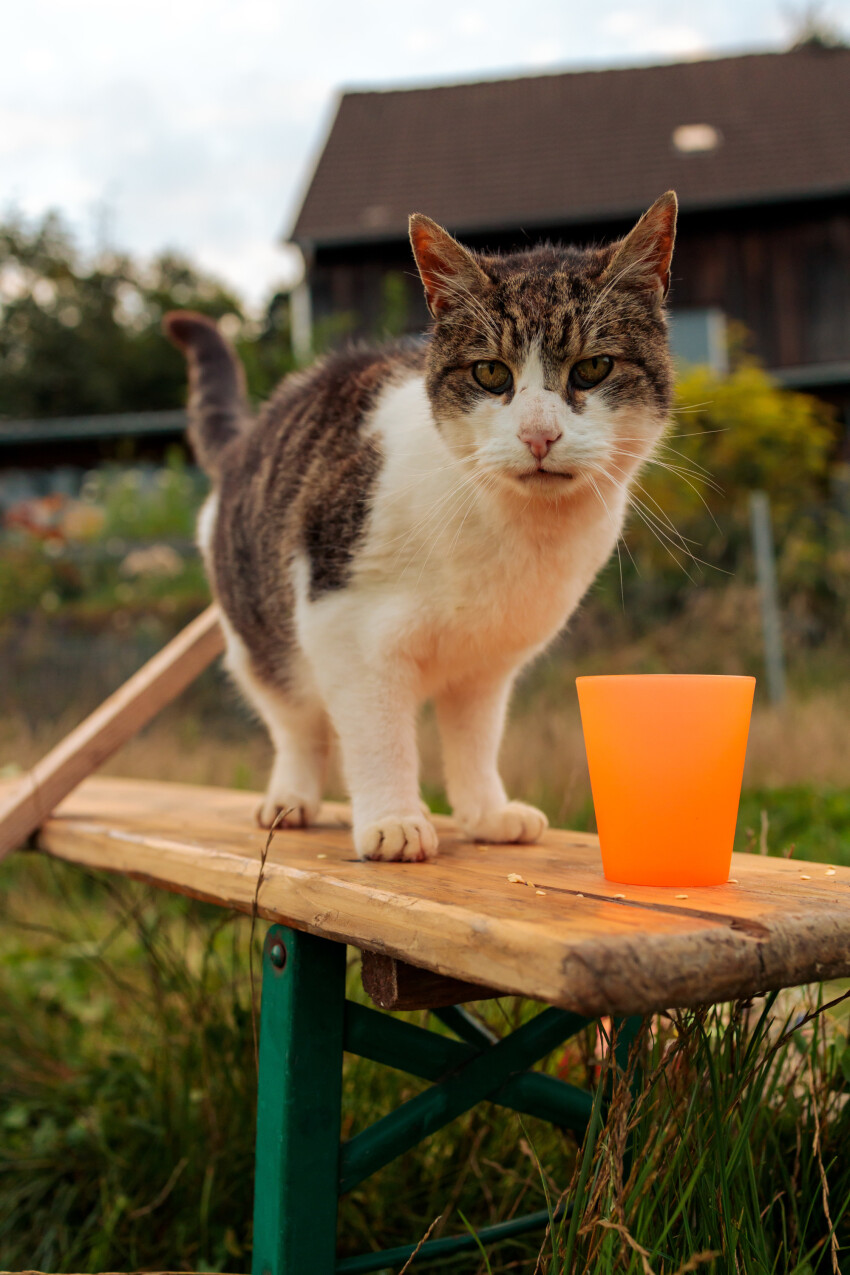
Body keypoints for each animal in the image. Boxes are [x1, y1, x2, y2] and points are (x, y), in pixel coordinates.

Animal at [163, 188, 672, 861]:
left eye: (593, 368)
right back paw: (293, 798)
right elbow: (378, 737)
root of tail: (254, 430)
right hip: (263, 641)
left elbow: (475, 740)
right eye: (491, 373)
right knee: (298, 724)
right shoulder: (345, 630)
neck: (512, 536)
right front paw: (393, 819)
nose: (539, 435)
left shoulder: (489, 665)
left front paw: (486, 813)